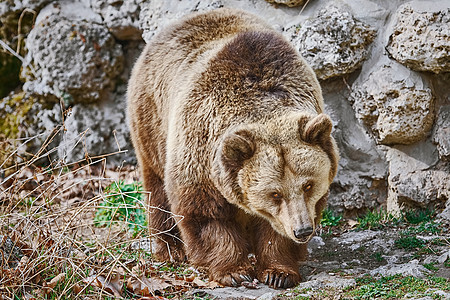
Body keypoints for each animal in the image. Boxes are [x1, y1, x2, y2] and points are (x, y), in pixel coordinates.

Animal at [126, 7, 338, 288]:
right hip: (152, 121)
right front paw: (234, 271)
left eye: (308, 185)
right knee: (157, 189)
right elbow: (205, 215)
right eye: (275, 194)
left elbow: (274, 230)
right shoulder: (200, 147)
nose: (302, 230)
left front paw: (279, 272)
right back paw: (171, 249)